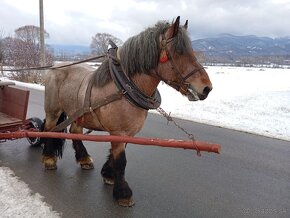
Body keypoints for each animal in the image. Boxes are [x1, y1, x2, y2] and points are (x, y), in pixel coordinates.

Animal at [42, 16, 212, 206]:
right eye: (178, 52)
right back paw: (48, 159)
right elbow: (121, 161)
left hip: (78, 113)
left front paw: (108, 175)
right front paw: (123, 193)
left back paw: (83, 158)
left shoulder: (128, 132)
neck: (124, 87)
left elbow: (117, 155)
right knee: (49, 129)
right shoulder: (118, 131)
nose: (207, 88)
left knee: (75, 131)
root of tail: (54, 68)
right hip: (53, 111)